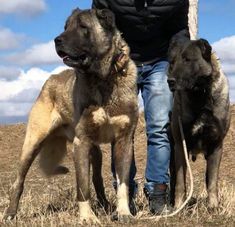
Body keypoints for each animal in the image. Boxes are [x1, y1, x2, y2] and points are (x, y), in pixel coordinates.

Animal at [3, 8, 139, 223]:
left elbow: (122, 183)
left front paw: (123, 212)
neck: (104, 78)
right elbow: (82, 187)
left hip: (95, 151)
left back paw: (105, 205)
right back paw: (10, 214)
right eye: (66, 27)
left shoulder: (124, 141)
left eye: (83, 27)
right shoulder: (81, 143)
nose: (56, 40)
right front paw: (87, 218)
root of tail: (50, 79)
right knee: (18, 183)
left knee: (97, 179)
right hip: (33, 143)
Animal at [168, 29, 230, 209]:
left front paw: (213, 206)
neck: (200, 97)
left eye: (187, 60)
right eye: (172, 62)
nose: (170, 81)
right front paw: (179, 206)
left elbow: (212, 181)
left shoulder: (216, 146)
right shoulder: (180, 146)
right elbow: (180, 182)